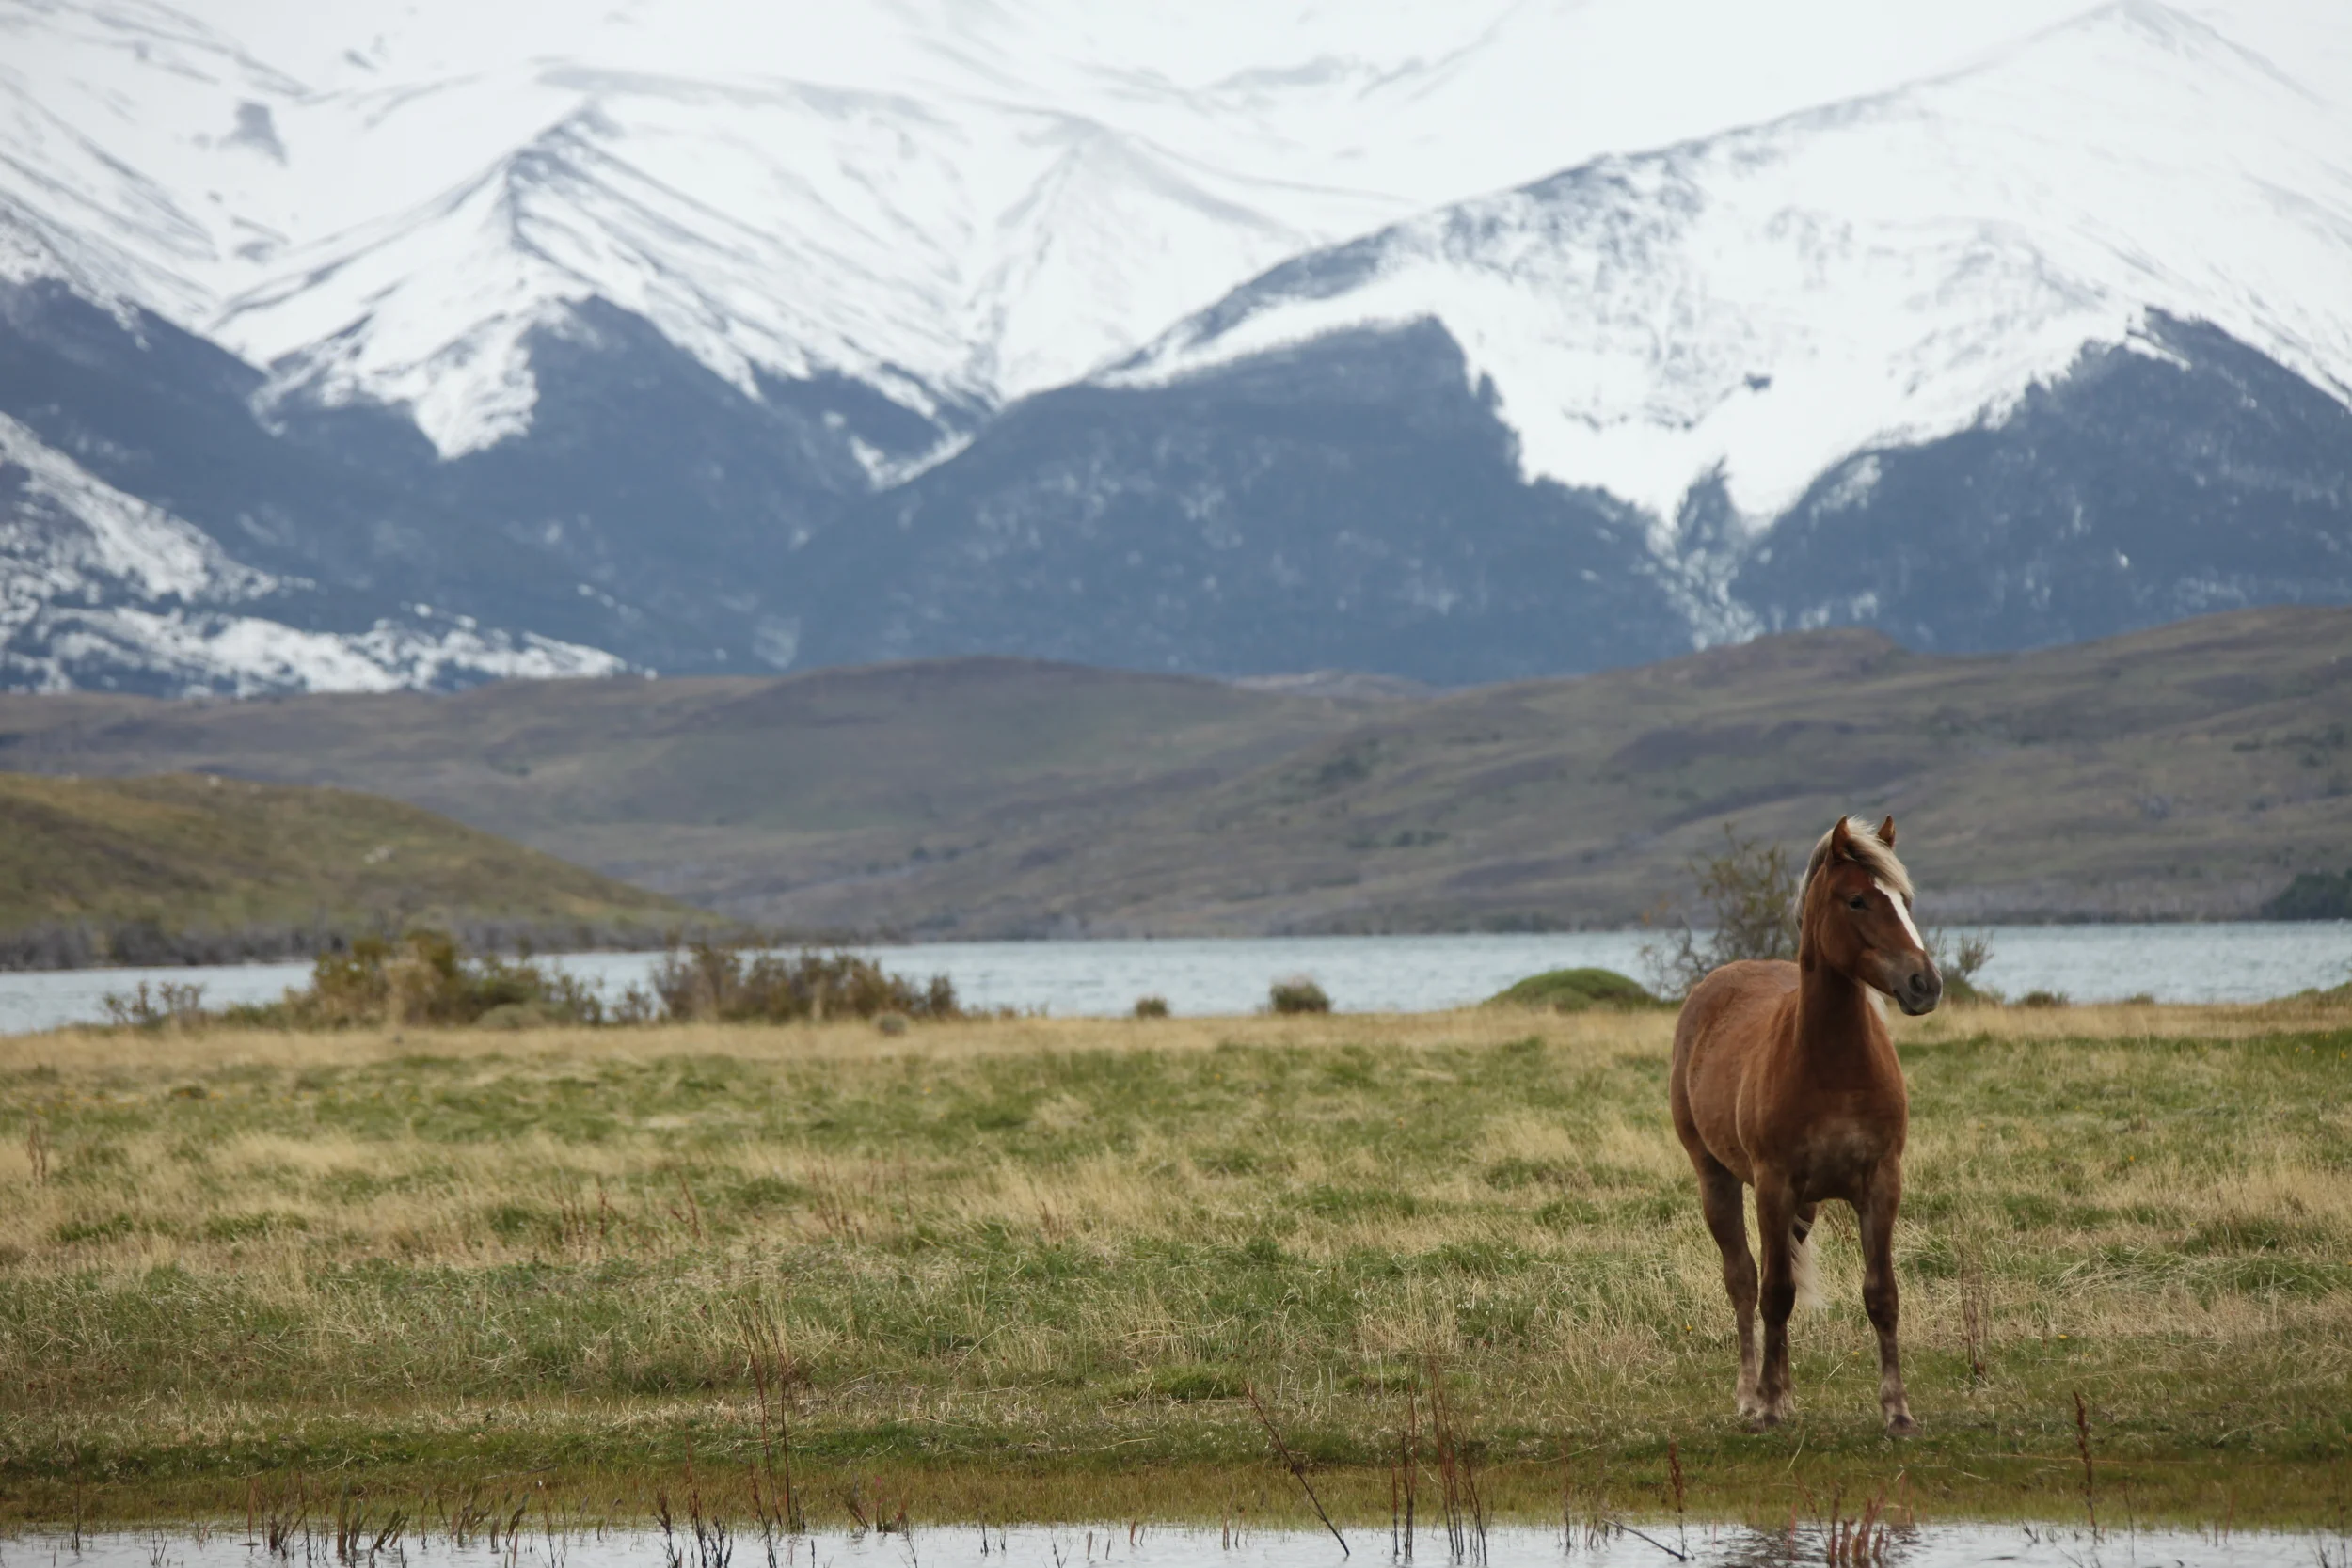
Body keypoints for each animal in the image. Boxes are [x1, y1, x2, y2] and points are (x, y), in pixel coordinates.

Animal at [1668, 814, 1941, 1434]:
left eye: (1906, 900)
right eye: (1858, 899)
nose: (1925, 984)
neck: (1833, 1067)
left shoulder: (1881, 1184)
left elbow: (1881, 1294)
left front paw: (1898, 1411)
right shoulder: (1774, 1186)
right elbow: (1773, 1293)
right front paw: (1767, 1405)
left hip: (1804, 1206)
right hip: (1719, 1181)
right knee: (1745, 1281)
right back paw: (1753, 1394)